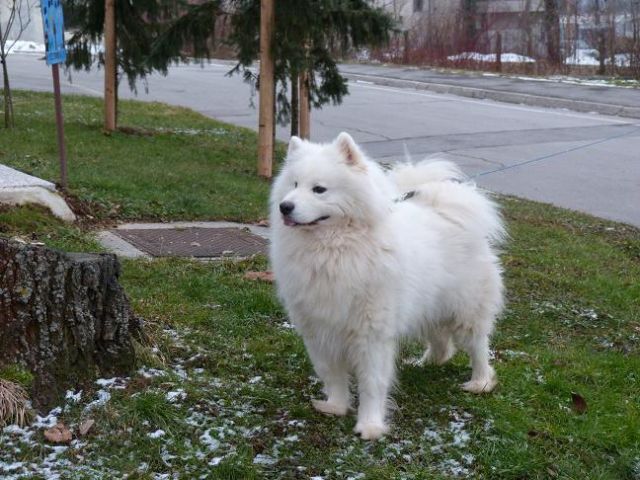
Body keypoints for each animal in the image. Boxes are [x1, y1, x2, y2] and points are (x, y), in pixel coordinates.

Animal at [270, 131, 504, 438]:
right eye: (294, 184)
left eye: (319, 189)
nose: (285, 206)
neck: (333, 251)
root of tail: (445, 207)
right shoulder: (320, 330)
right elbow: (332, 375)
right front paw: (335, 407)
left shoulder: (371, 334)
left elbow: (372, 383)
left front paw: (369, 426)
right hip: (427, 307)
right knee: (442, 343)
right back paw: (426, 363)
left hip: (465, 311)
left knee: (478, 347)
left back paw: (480, 382)